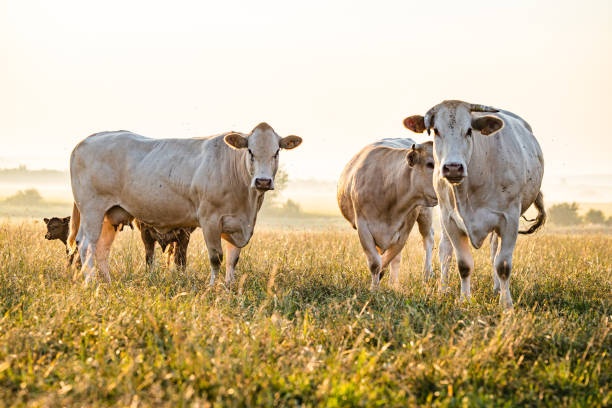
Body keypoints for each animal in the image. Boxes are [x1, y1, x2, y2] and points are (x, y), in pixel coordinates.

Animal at [68, 122, 302, 286]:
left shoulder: (239, 224)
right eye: (250, 151)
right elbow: (216, 257)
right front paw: (213, 286)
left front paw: (230, 287)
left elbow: (232, 259)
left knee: (101, 248)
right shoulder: (210, 220)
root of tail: (86, 140)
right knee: (87, 245)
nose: (263, 181)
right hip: (92, 209)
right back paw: (91, 282)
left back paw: (106, 282)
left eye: (276, 152)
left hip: (111, 215)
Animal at [338, 139, 438, 288]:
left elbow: (385, 261)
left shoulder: (404, 231)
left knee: (428, 238)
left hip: (425, 212)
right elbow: (375, 263)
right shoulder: (362, 226)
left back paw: (424, 274)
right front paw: (374, 288)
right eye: (430, 164)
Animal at [406, 100, 544, 308]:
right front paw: (464, 299)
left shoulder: (509, 219)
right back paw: (443, 289)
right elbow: (463, 265)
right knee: (445, 252)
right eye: (436, 130)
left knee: (494, 252)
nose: (453, 167)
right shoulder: (451, 221)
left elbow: (502, 265)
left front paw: (506, 304)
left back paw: (497, 288)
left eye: (469, 130)